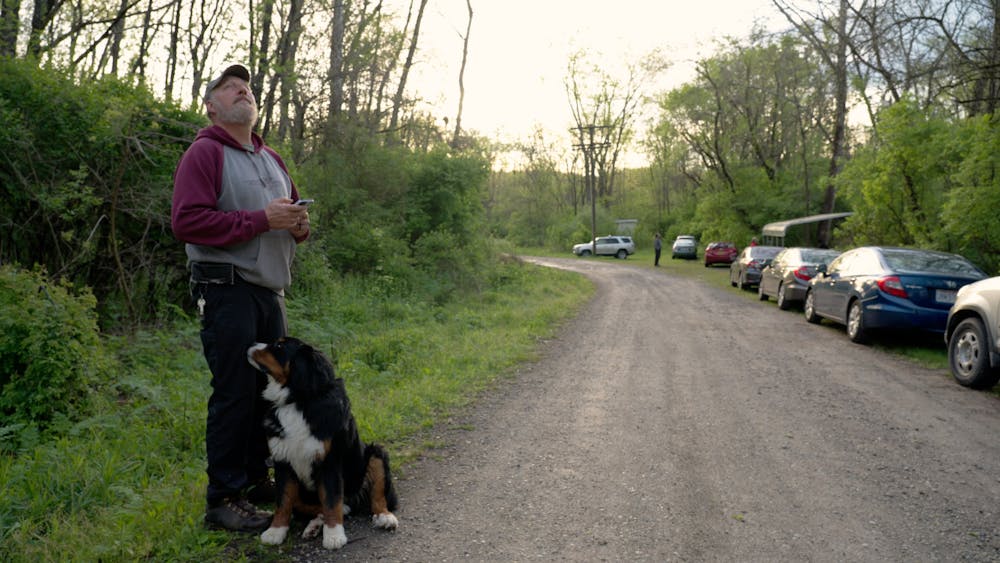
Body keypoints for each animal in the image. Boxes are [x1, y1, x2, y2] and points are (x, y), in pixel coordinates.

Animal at [246, 338, 398, 548]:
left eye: (279, 346)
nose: (251, 343)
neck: (298, 400)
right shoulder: (283, 461)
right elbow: (283, 501)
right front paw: (275, 531)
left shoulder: (329, 461)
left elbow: (332, 501)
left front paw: (334, 535)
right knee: (315, 507)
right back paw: (315, 526)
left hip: (376, 454)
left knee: (377, 496)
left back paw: (385, 518)